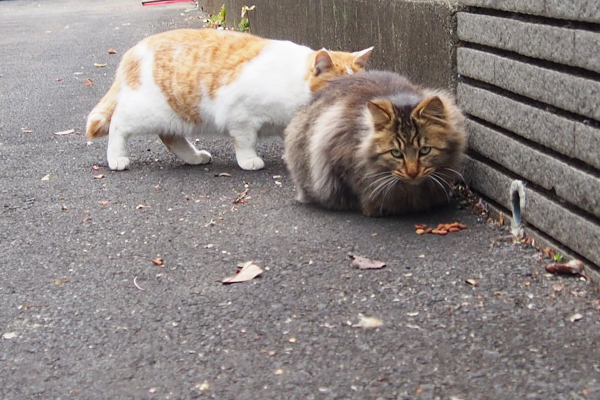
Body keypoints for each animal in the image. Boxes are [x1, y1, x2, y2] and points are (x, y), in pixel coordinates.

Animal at [86, 28, 372, 170]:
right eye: (337, 86)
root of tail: (134, 50)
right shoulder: (241, 117)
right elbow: (245, 142)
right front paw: (249, 160)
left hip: (178, 116)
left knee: (170, 137)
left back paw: (194, 157)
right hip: (146, 110)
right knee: (118, 124)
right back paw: (116, 159)